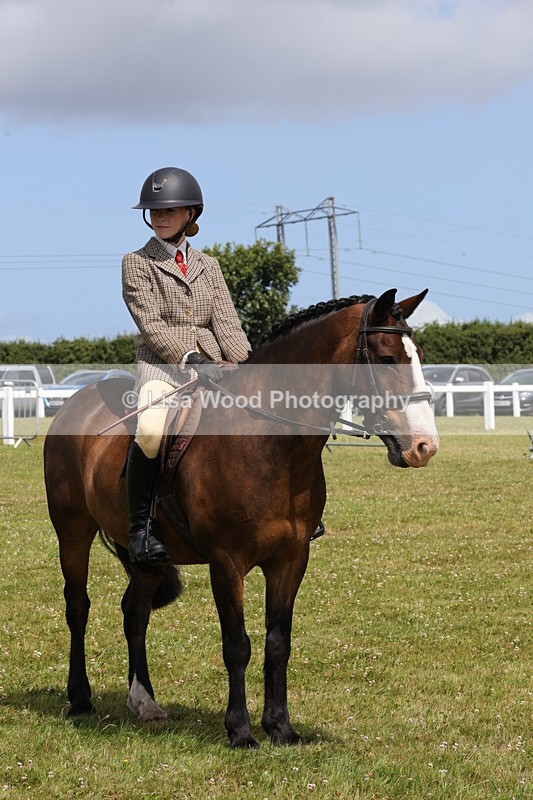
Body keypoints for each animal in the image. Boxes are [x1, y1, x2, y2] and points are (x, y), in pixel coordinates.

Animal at [43, 288, 439, 749]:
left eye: (418, 355)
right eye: (387, 358)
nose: (425, 446)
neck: (267, 441)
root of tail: (77, 401)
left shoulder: (290, 560)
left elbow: (277, 643)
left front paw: (281, 727)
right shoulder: (226, 562)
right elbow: (237, 645)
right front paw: (240, 730)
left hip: (146, 556)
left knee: (135, 612)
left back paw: (145, 703)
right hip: (73, 530)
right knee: (78, 606)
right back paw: (80, 700)